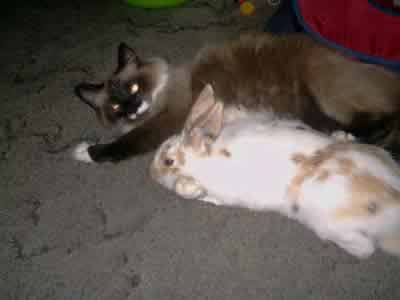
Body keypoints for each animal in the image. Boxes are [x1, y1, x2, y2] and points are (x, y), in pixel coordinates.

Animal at [73, 32, 400, 164]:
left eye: (133, 89)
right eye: (116, 105)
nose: (132, 107)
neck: (159, 96)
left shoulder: (169, 119)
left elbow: (127, 142)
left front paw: (85, 152)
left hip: (326, 91)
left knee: (383, 119)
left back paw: (347, 137)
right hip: (311, 108)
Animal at [149, 84, 400, 258]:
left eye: (168, 161)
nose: (150, 172)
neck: (207, 156)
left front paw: (187, 186)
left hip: (334, 227)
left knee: (365, 250)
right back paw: (343, 136)